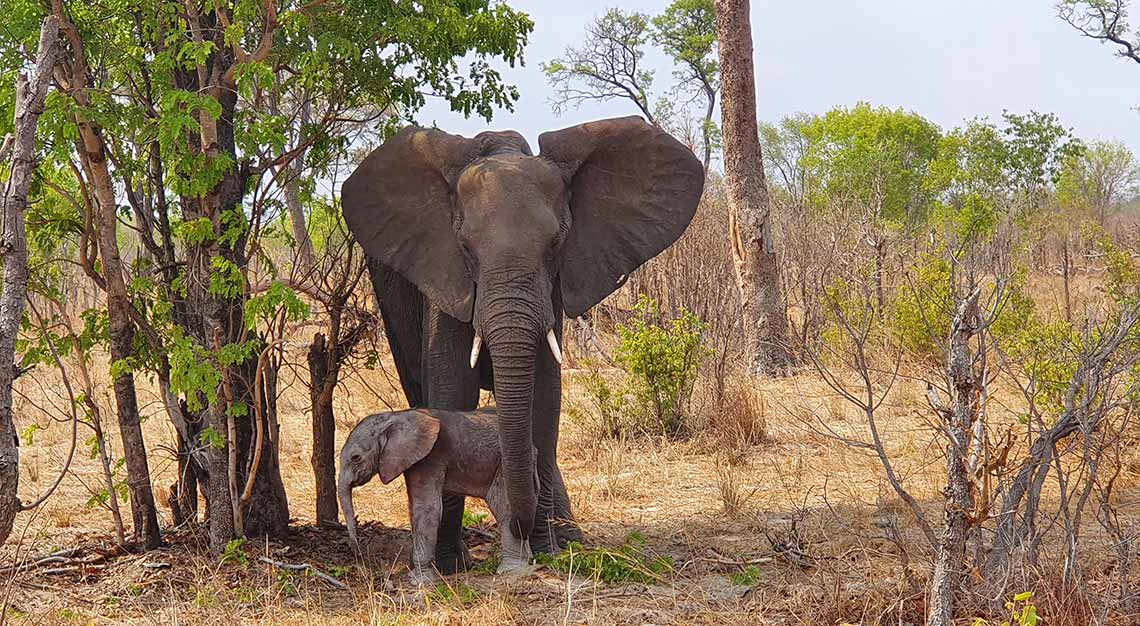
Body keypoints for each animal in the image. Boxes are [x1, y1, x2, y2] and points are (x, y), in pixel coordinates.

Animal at [335, 405, 535, 581]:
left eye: (356, 458)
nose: (358, 554)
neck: (397, 415)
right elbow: (414, 507)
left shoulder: (432, 456)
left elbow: (427, 508)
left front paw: (419, 581)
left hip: (503, 466)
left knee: (503, 507)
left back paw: (512, 570)